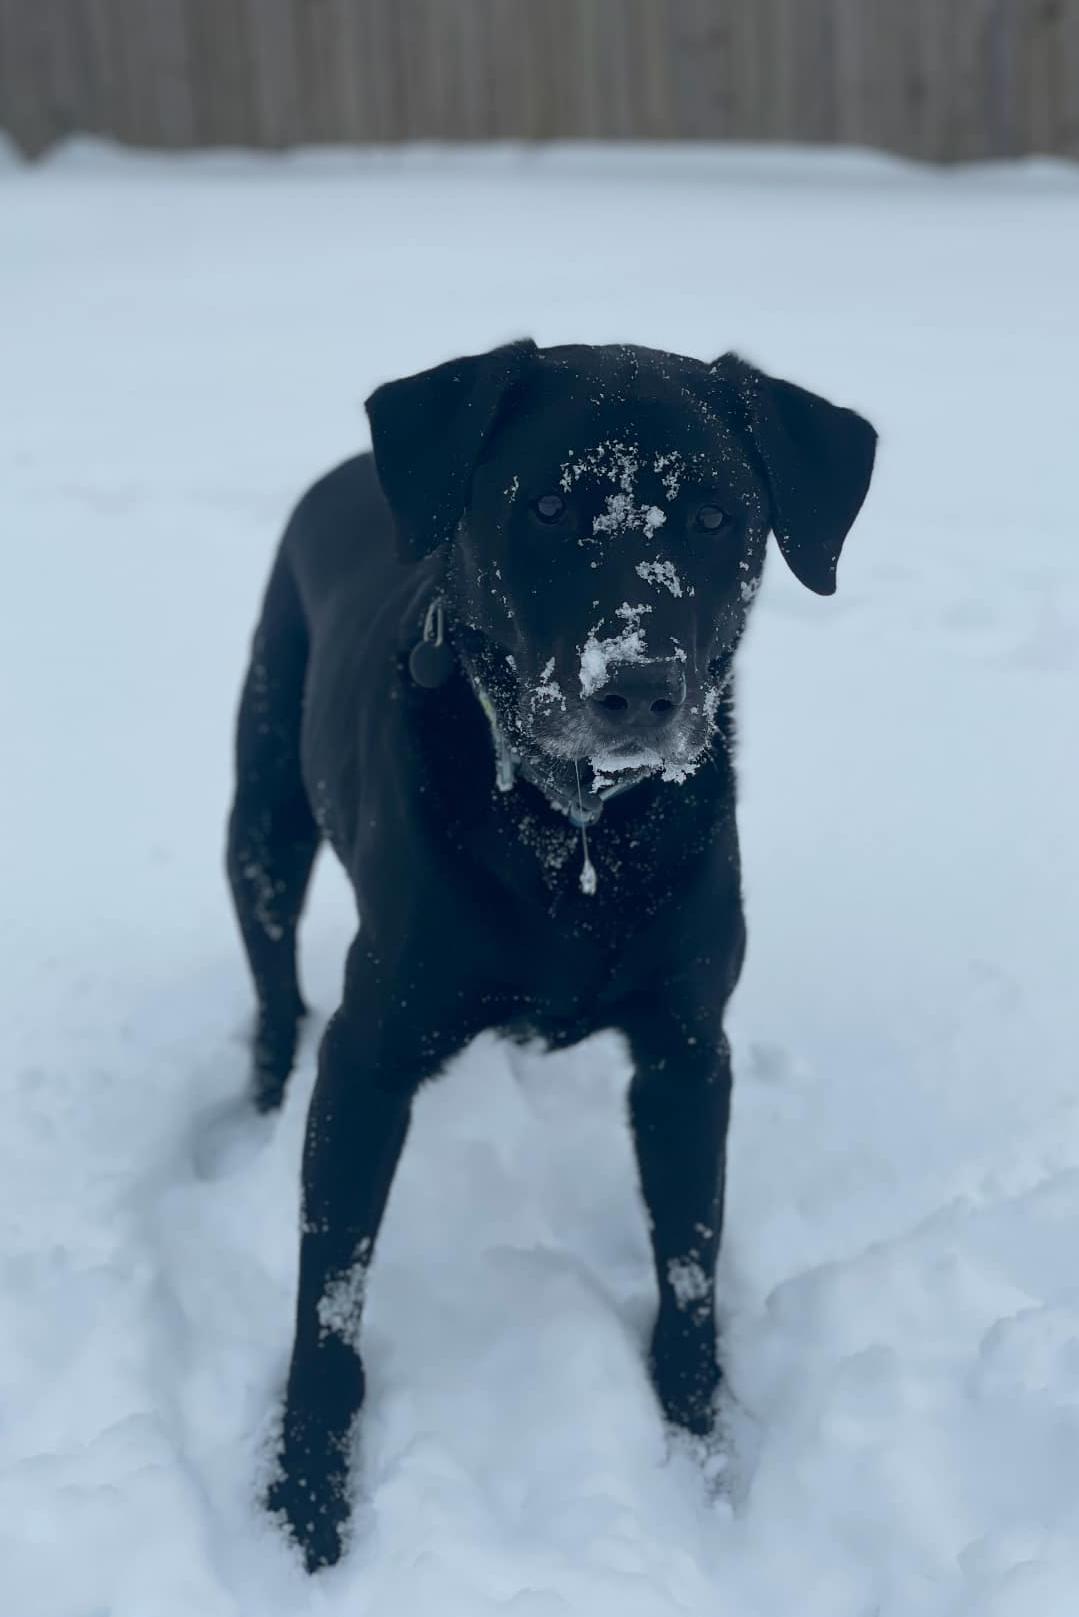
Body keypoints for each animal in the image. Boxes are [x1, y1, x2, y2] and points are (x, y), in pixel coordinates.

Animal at [228, 341, 880, 1565]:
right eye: (541, 507)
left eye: (715, 515)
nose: (636, 688)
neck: (573, 833)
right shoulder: (369, 1057)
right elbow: (327, 1301)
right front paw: (305, 1503)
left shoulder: (686, 1052)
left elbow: (689, 1271)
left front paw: (699, 1454)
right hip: (263, 826)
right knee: (273, 997)